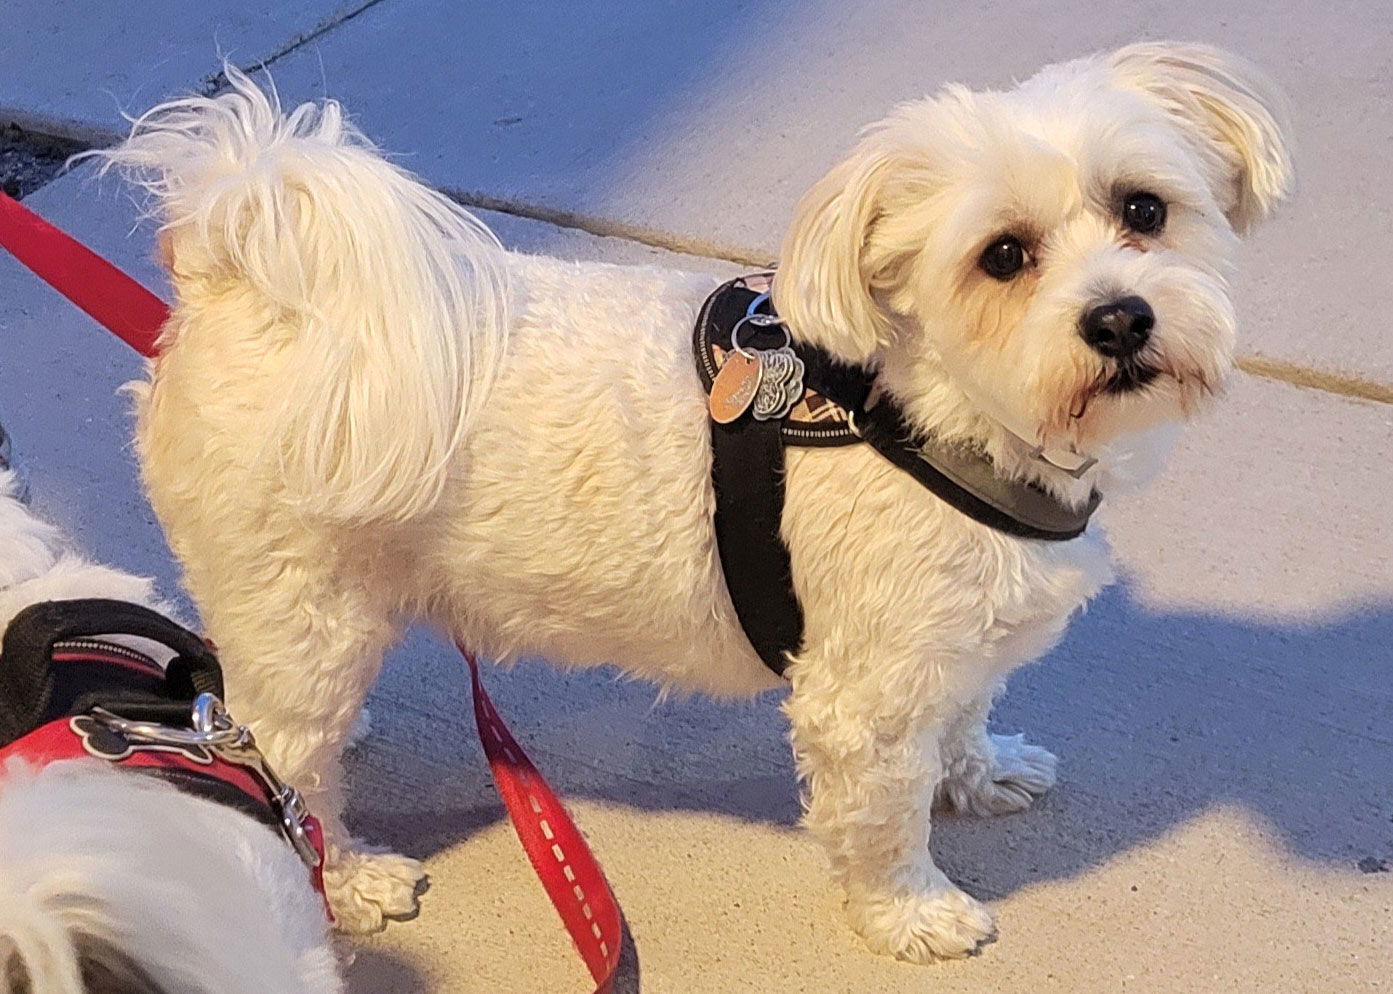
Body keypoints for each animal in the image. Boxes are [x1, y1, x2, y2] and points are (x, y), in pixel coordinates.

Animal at [100, 42, 1292, 957]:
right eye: (1003, 256)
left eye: (1144, 208)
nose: (1121, 318)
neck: (933, 413)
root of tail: (233, 274)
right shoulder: (866, 692)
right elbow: (884, 816)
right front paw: (910, 914)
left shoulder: (953, 647)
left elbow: (961, 718)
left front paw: (978, 769)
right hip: (303, 609)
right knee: (282, 761)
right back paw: (344, 875)